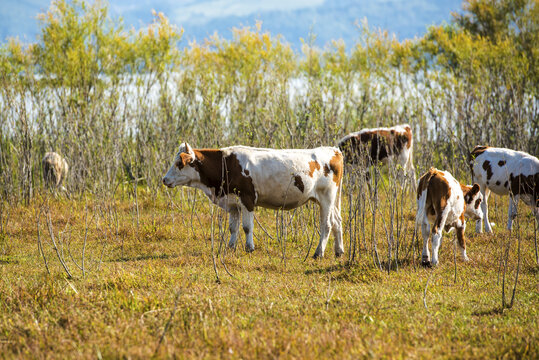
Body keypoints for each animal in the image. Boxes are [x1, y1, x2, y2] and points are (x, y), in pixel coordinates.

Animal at [162, 142, 344, 258]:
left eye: (179, 163)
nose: (164, 179)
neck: (226, 164)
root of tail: (333, 150)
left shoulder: (247, 199)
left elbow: (247, 227)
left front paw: (249, 248)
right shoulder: (233, 203)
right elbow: (233, 228)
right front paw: (231, 247)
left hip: (326, 197)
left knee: (327, 225)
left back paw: (318, 253)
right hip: (330, 200)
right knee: (337, 222)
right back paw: (339, 251)